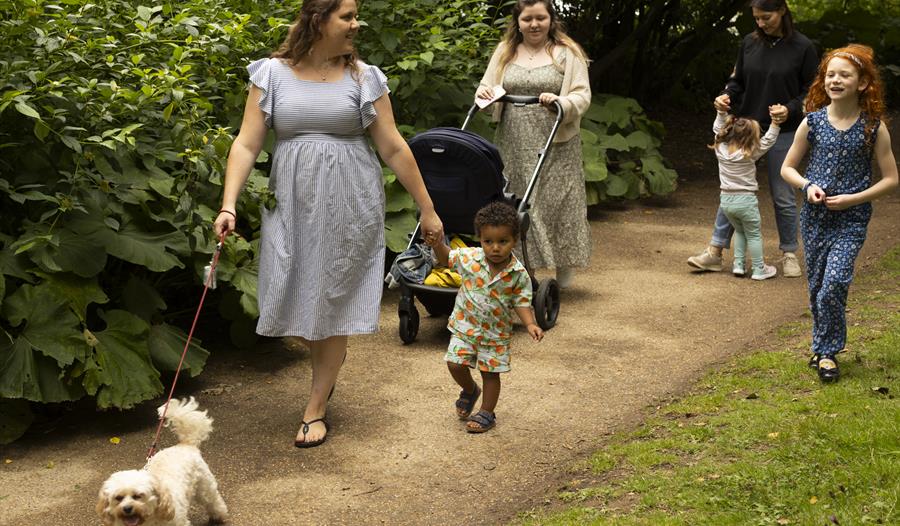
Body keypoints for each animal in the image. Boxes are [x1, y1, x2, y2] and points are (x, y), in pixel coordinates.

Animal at [94, 400, 227, 526]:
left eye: (138, 495)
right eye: (118, 498)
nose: (127, 508)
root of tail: (185, 444)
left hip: (205, 488)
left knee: (214, 502)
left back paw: (219, 516)